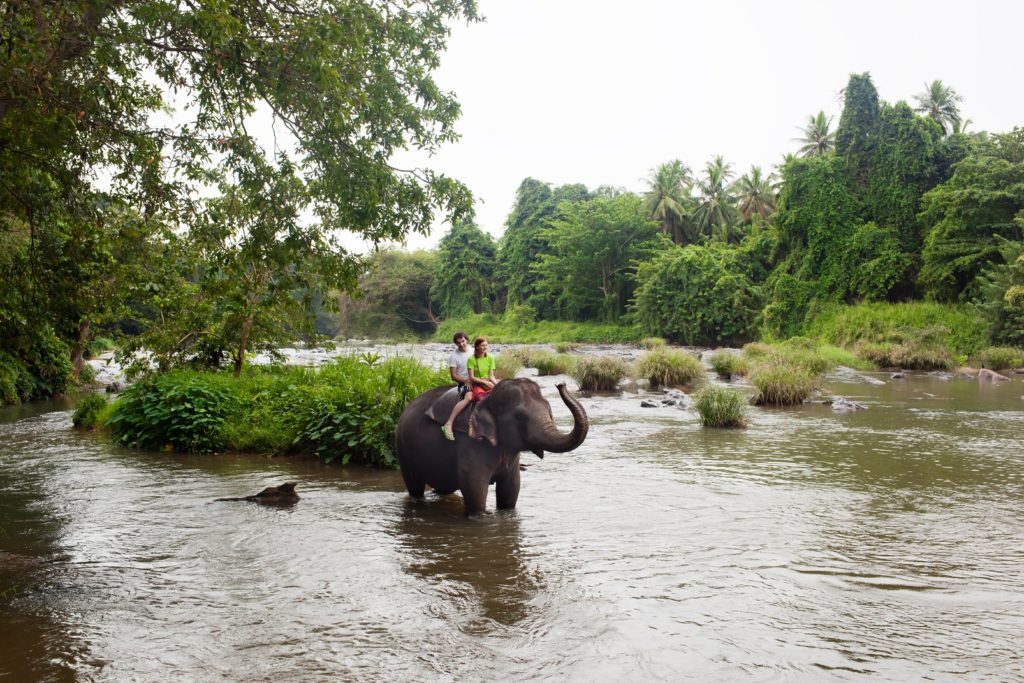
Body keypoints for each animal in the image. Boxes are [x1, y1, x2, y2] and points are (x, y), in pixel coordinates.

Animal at [395, 376, 589, 516]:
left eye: (549, 410)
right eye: (520, 416)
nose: (561, 384)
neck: (487, 399)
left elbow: (511, 491)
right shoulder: (471, 444)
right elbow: (475, 491)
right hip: (403, 449)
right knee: (415, 487)